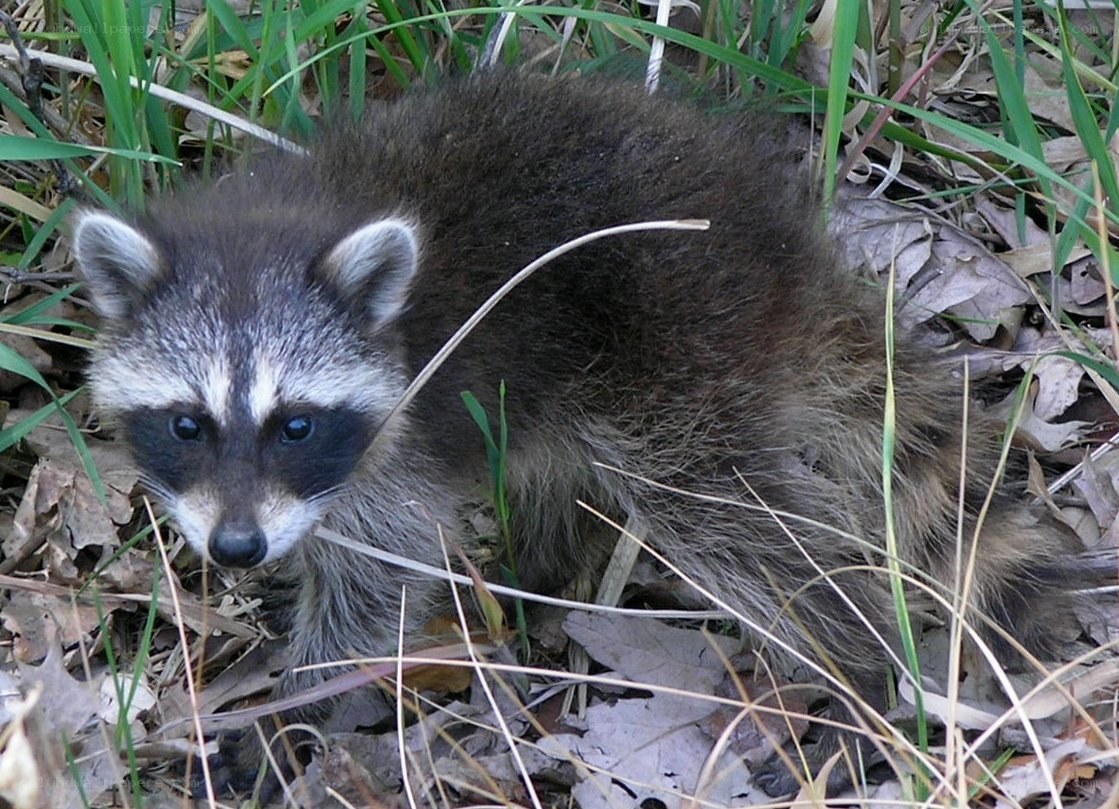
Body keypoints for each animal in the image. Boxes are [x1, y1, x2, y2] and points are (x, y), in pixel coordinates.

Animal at [71, 73, 1085, 797]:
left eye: (296, 424)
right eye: (188, 423)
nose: (237, 550)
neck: (270, 230)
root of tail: (787, 252)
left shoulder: (392, 444)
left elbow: (379, 577)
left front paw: (295, 708)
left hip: (680, 342)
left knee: (731, 519)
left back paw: (853, 662)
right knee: (569, 471)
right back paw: (541, 577)